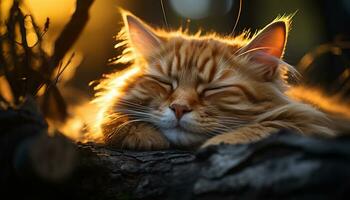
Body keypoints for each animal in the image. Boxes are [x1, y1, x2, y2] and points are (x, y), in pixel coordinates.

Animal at [91, 10, 344, 149]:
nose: (179, 108)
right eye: (165, 83)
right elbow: (108, 115)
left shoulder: (315, 121)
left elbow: (273, 126)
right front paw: (143, 134)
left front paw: (220, 142)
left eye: (213, 89)